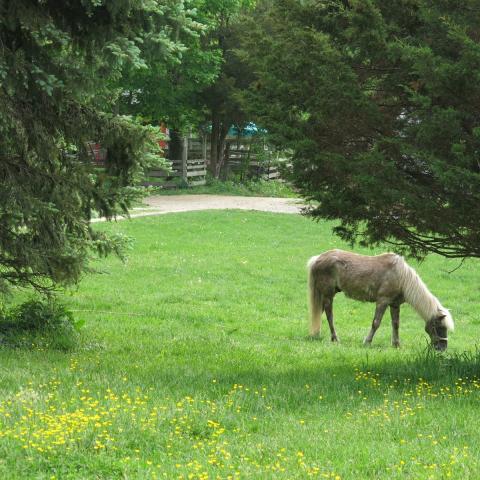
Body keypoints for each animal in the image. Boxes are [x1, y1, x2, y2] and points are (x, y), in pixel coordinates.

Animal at [308, 251, 454, 348]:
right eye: (440, 327)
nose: (442, 349)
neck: (401, 277)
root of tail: (317, 259)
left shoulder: (394, 305)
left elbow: (396, 324)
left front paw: (396, 344)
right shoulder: (382, 301)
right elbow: (376, 323)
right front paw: (367, 342)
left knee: (319, 313)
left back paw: (315, 335)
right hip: (328, 295)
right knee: (329, 316)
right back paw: (335, 339)